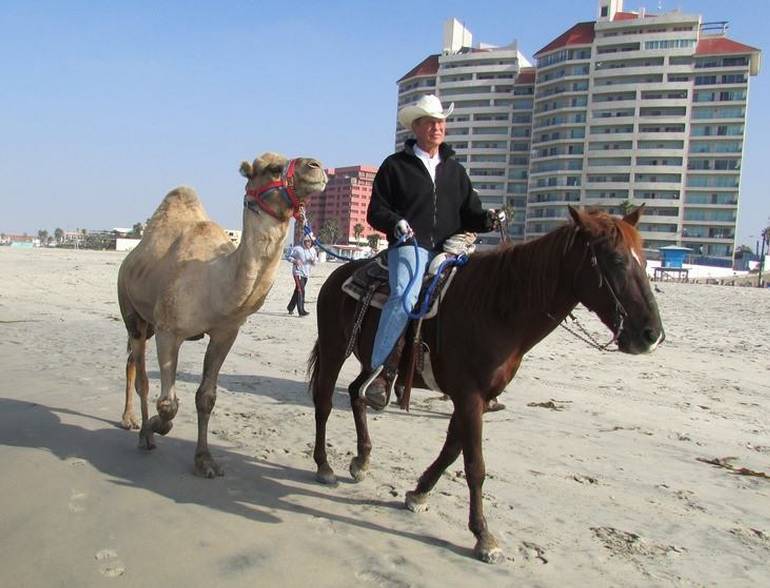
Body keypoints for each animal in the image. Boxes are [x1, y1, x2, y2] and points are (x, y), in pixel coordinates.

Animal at [118, 153, 328, 478]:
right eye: (273, 168)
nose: (316, 167)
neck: (214, 281)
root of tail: (129, 259)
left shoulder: (225, 332)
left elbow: (206, 398)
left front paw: (204, 460)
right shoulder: (169, 330)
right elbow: (168, 404)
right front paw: (155, 427)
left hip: (147, 321)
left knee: (132, 362)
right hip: (132, 312)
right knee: (139, 373)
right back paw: (139, 431)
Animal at [308, 206, 664, 560]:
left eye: (645, 260)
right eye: (616, 259)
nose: (652, 335)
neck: (497, 308)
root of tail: (340, 274)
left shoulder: (473, 397)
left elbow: (452, 450)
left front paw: (419, 493)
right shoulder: (469, 396)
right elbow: (474, 464)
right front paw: (483, 535)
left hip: (370, 359)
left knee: (356, 393)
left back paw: (362, 460)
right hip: (334, 347)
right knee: (324, 401)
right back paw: (324, 466)